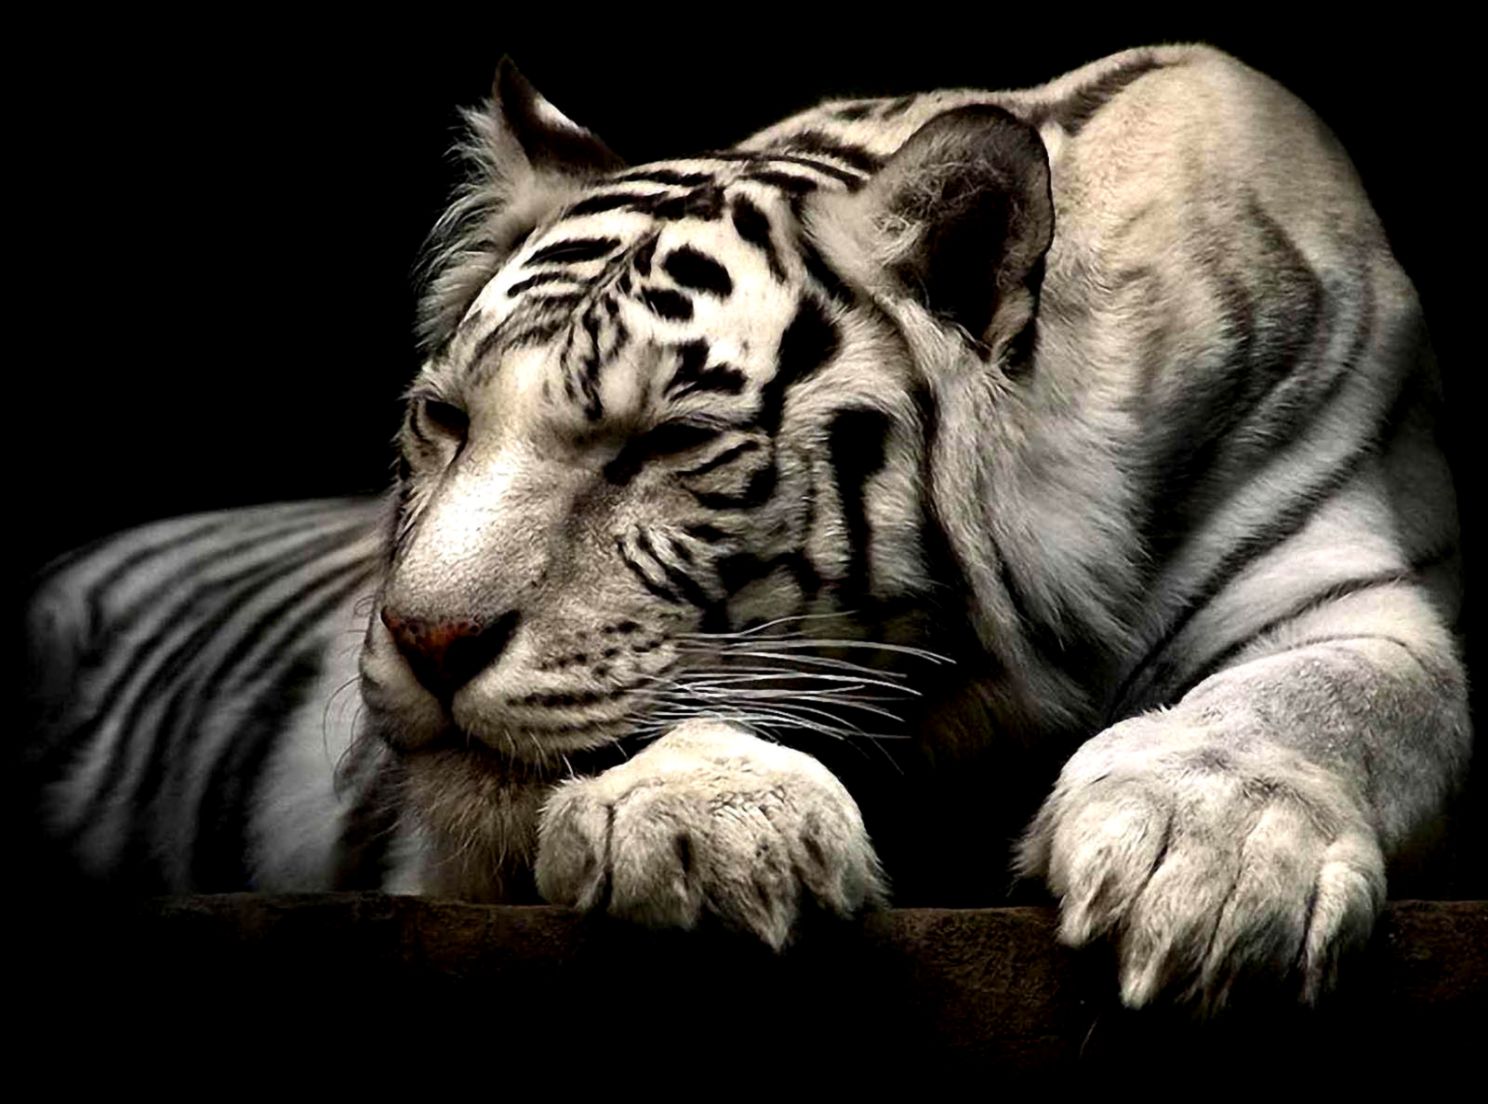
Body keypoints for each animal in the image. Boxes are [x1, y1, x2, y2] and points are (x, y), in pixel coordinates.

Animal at [23, 43, 1468, 1014]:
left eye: (664, 446)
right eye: (444, 420)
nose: (426, 640)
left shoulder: (1354, 586)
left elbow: (1328, 700)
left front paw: (1204, 859)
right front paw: (706, 824)